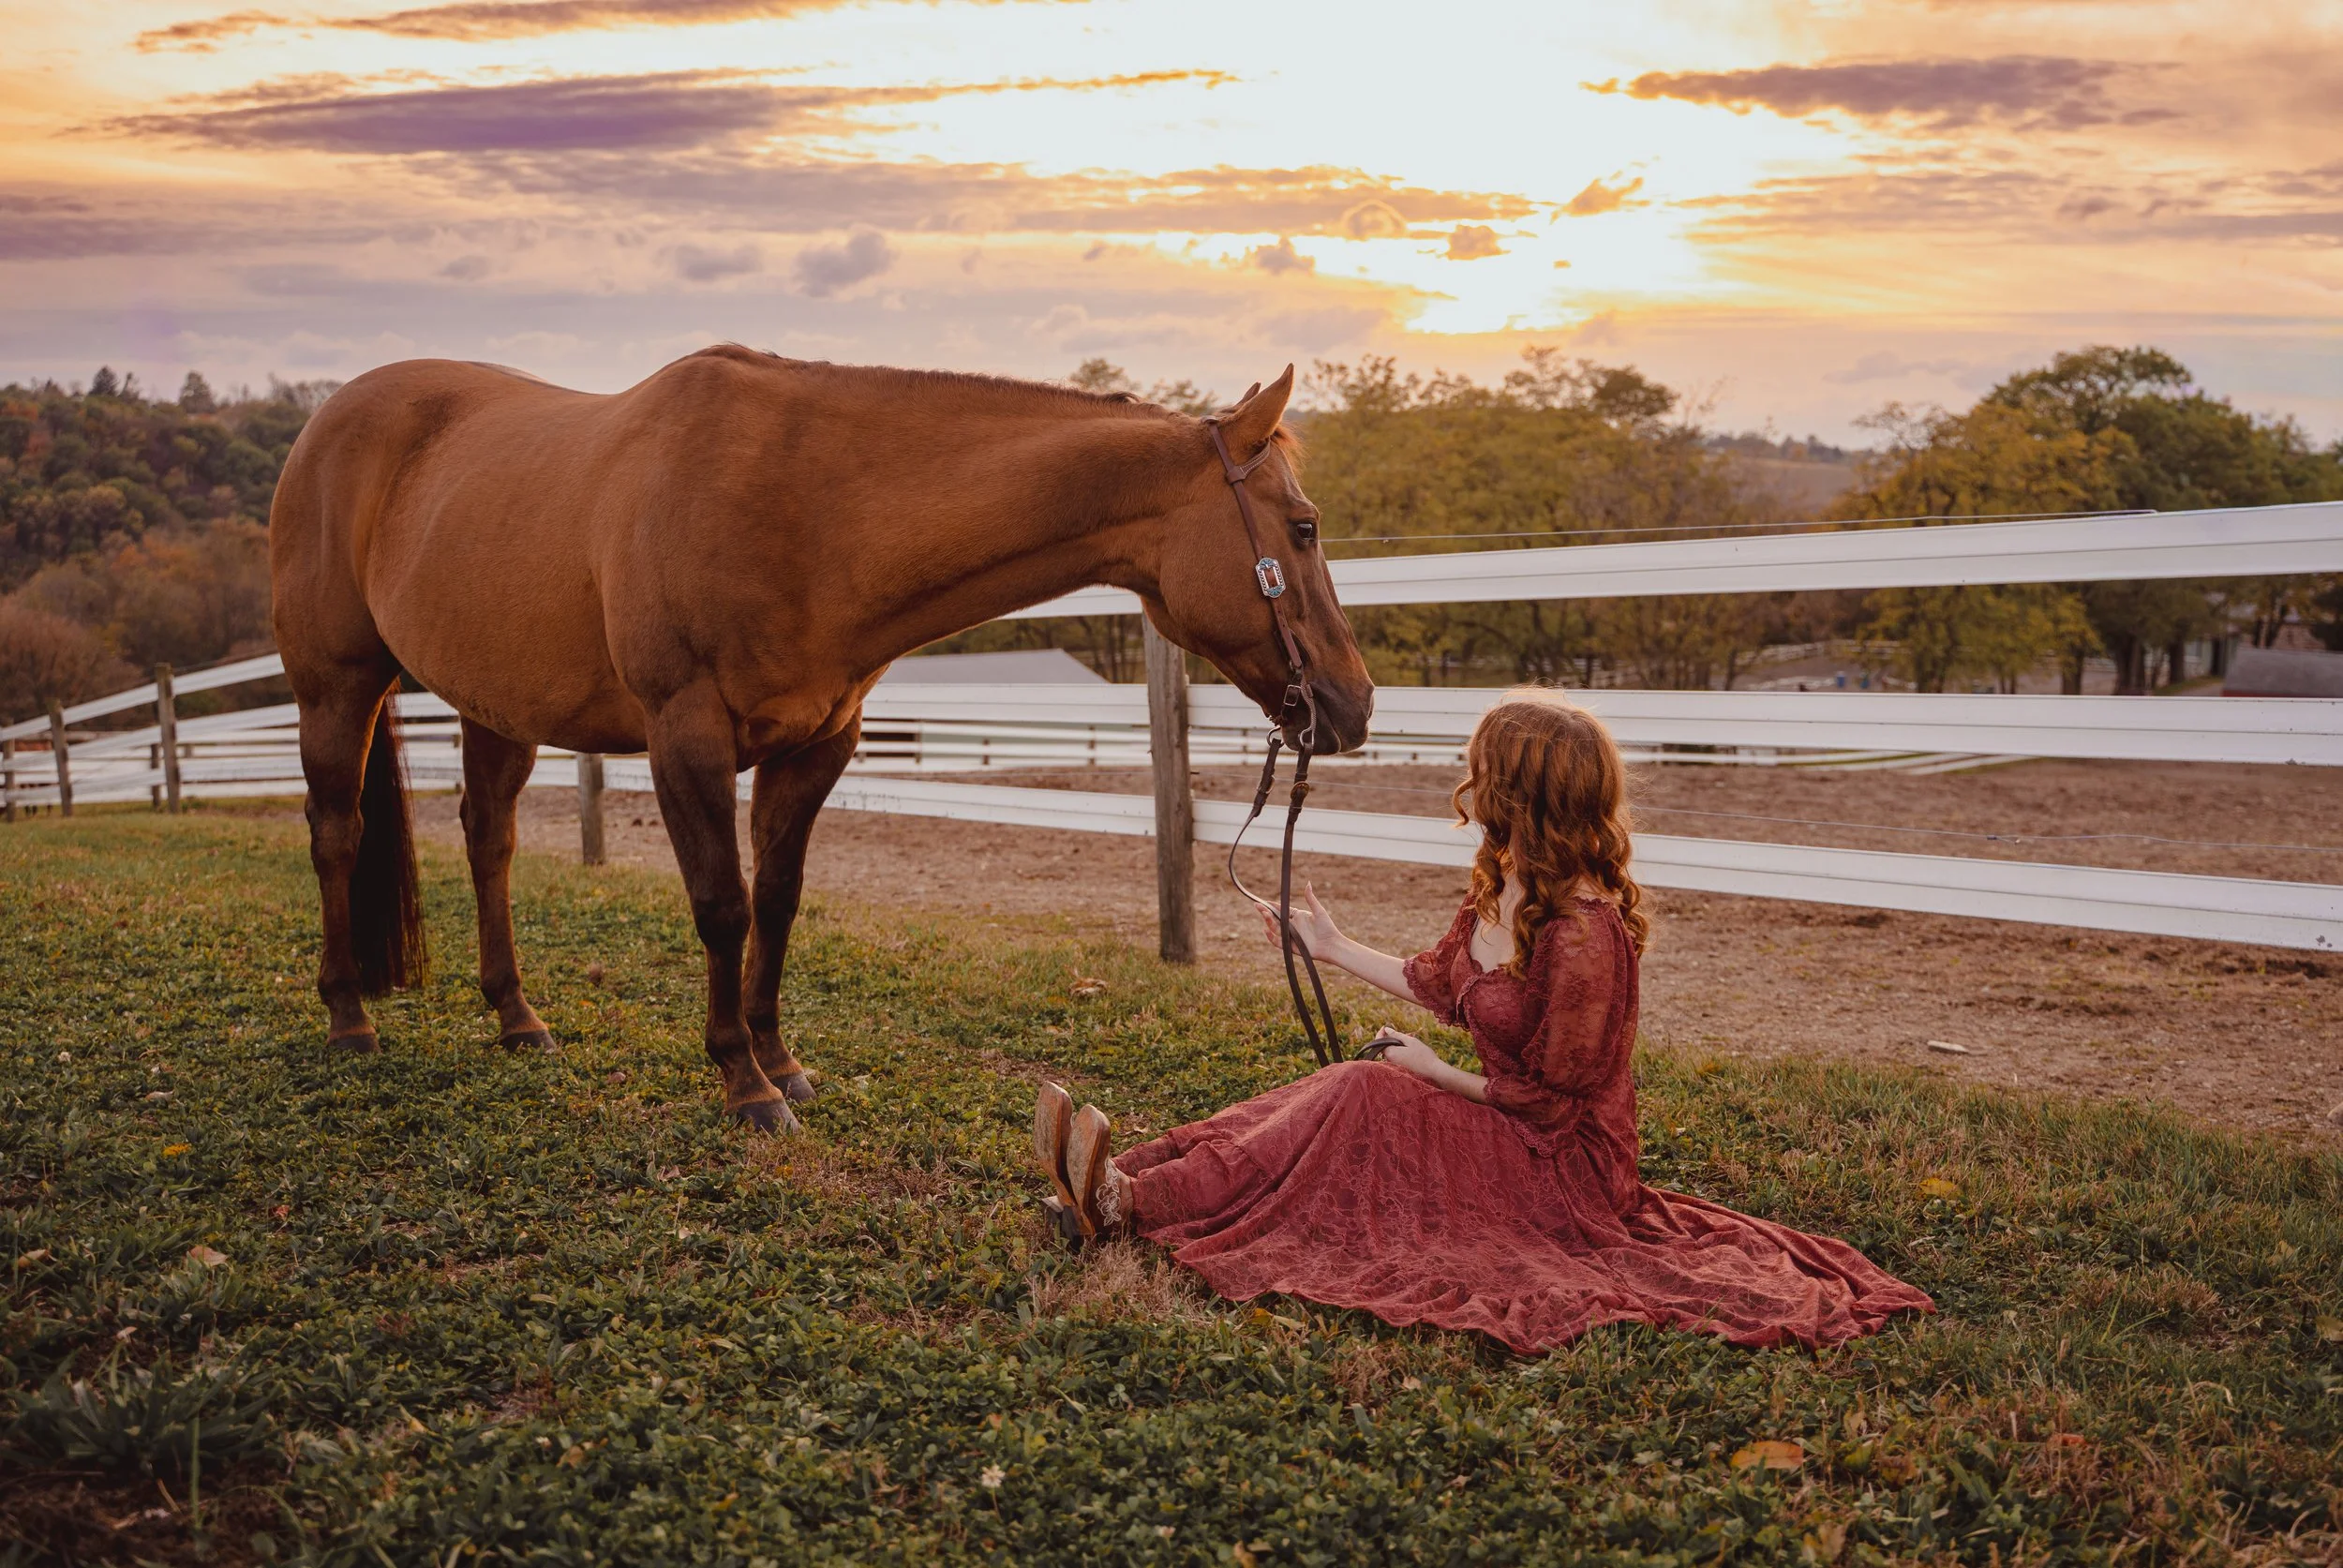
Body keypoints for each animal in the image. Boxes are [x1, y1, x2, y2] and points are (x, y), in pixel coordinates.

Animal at [269, 347, 1373, 1130]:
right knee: (335, 835)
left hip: (496, 709)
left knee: (488, 840)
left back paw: (517, 1019)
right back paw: (347, 1018)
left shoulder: (818, 745)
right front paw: (741, 1082)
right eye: (1305, 526)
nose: (1353, 704)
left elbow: (779, 901)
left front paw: (780, 1061)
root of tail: (330, 420)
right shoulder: (686, 736)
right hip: (337, 685)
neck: (806, 503)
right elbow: (721, 905)